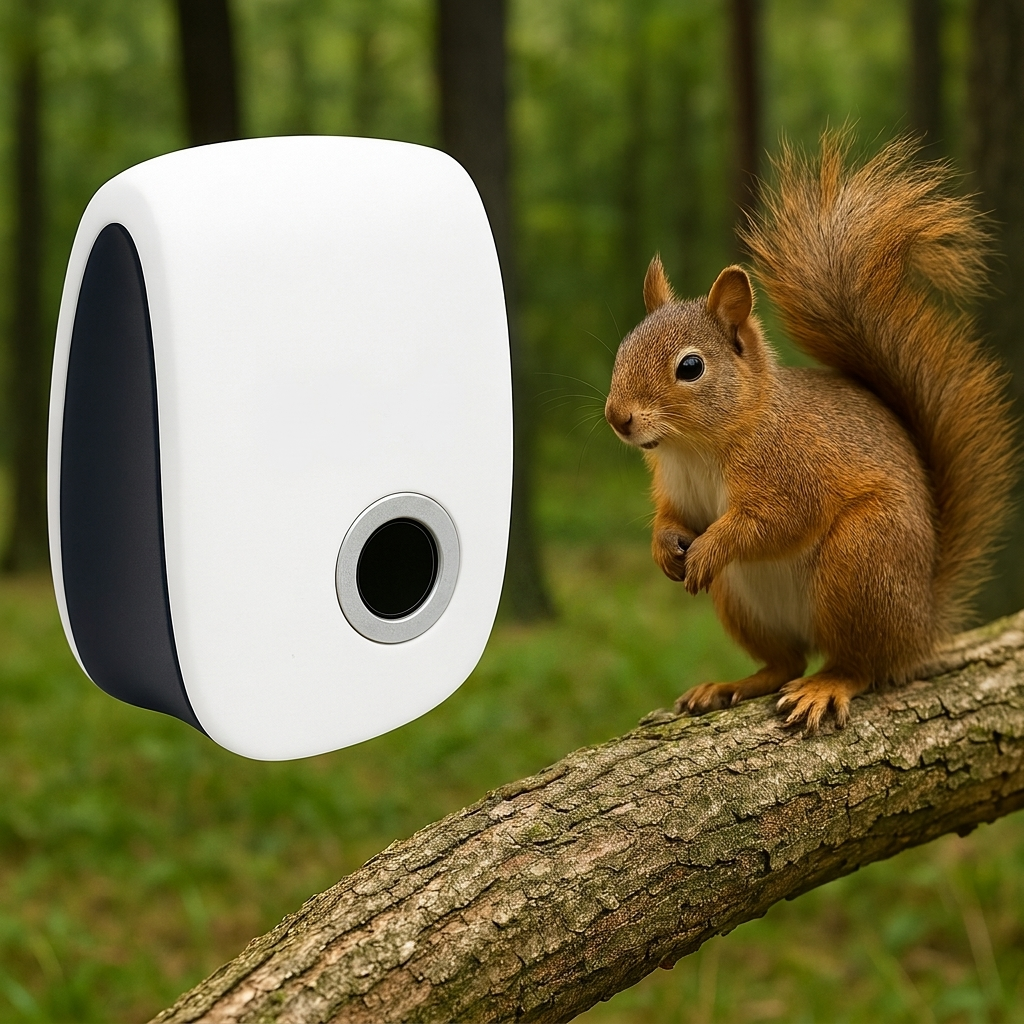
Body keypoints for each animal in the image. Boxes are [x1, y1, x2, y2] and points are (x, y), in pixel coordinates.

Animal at [604, 132, 1016, 731]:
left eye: (690, 367)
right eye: (623, 348)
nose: (618, 416)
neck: (697, 447)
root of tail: (921, 624)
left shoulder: (793, 470)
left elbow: (773, 522)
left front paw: (707, 549)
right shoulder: (676, 489)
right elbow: (673, 517)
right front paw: (665, 546)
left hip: (861, 560)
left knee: (859, 664)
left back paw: (826, 685)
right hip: (746, 603)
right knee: (786, 660)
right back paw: (733, 684)